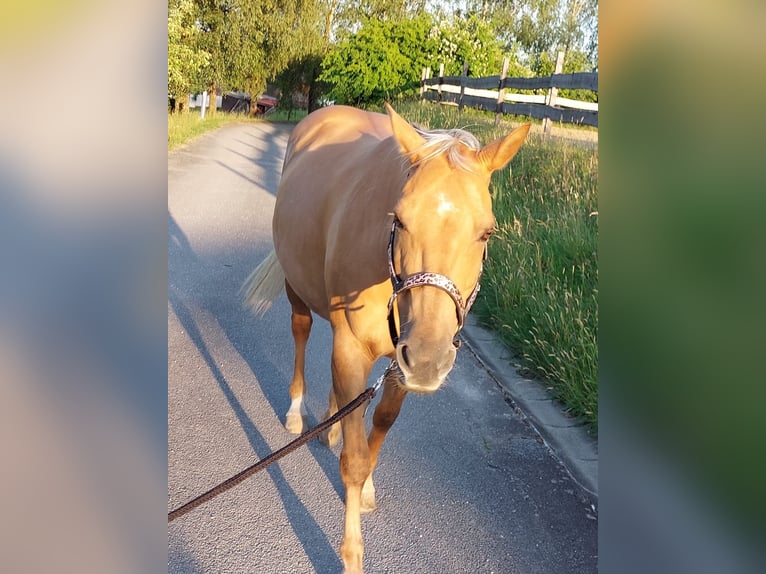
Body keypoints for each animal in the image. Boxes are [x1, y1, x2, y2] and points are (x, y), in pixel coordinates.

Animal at [243, 103, 529, 573]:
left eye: (487, 232)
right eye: (400, 219)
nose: (430, 359)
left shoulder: (400, 361)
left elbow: (378, 427)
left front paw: (367, 487)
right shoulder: (357, 348)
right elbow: (355, 461)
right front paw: (352, 555)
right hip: (297, 290)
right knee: (302, 333)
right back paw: (297, 413)